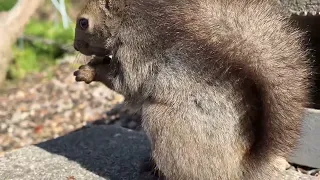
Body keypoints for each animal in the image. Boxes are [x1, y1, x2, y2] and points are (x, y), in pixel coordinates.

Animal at [73, 0, 312, 179]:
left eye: (83, 22)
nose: (75, 46)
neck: (130, 21)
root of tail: (240, 170)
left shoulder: (136, 54)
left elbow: (125, 83)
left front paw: (90, 72)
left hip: (164, 122)